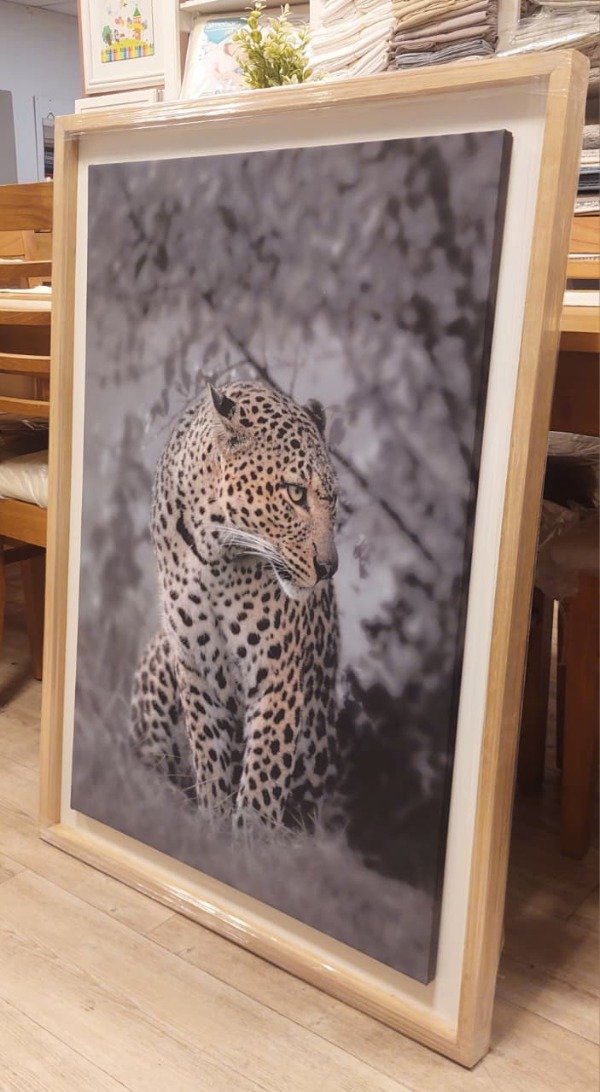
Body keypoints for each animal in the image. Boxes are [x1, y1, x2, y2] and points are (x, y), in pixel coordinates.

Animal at [130, 379, 340, 828]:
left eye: (332, 501)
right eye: (295, 493)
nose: (330, 567)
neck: (215, 555)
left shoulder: (279, 677)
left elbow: (263, 778)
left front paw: (248, 840)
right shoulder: (194, 665)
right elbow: (210, 758)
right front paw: (212, 826)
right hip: (159, 655)